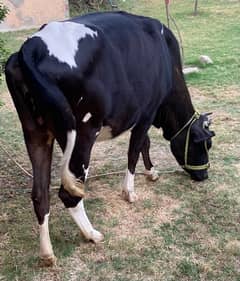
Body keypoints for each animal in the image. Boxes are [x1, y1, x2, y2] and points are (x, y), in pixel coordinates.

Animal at [5, 10, 216, 264]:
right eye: (205, 144)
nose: (204, 175)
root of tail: (31, 47)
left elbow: (144, 144)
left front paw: (151, 172)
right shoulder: (147, 111)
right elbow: (135, 150)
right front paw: (130, 192)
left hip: (35, 133)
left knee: (39, 194)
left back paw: (47, 254)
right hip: (83, 133)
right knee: (68, 192)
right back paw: (91, 234)